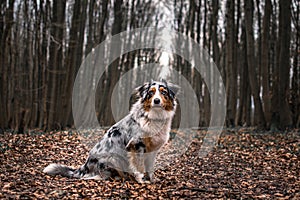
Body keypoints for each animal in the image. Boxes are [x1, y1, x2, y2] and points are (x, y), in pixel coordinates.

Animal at [42, 79, 178, 183]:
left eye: (164, 92)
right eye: (150, 93)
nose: (156, 101)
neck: (154, 117)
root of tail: (85, 167)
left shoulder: (152, 150)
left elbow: (150, 167)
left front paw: (152, 180)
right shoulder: (136, 145)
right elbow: (139, 166)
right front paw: (141, 180)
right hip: (112, 158)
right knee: (96, 176)